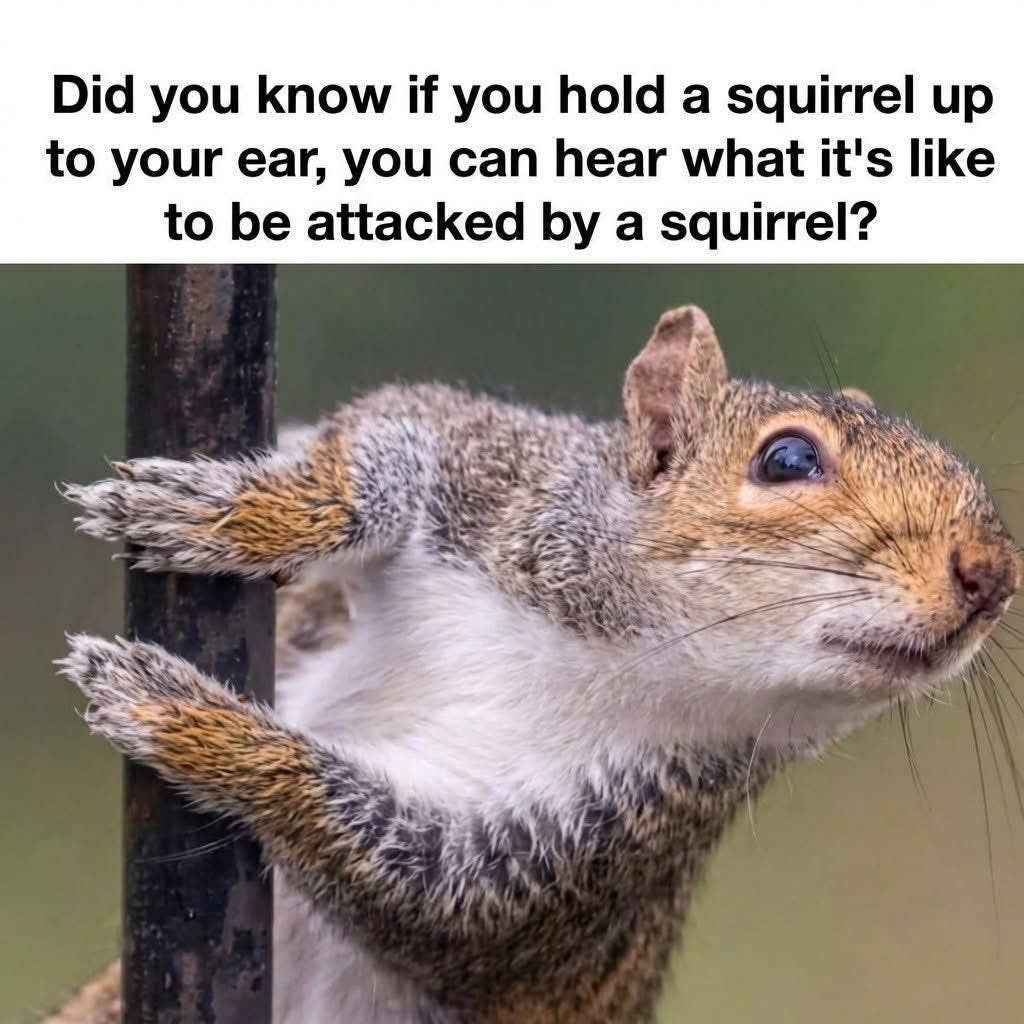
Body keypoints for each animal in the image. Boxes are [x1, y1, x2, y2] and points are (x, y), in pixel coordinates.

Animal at [54, 304, 1021, 1024]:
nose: (994, 574)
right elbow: (379, 449)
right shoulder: (493, 467)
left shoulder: (568, 858)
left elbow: (400, 873)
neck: (620, 652)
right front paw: (241, 516)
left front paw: (182, 716)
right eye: (788, 457)